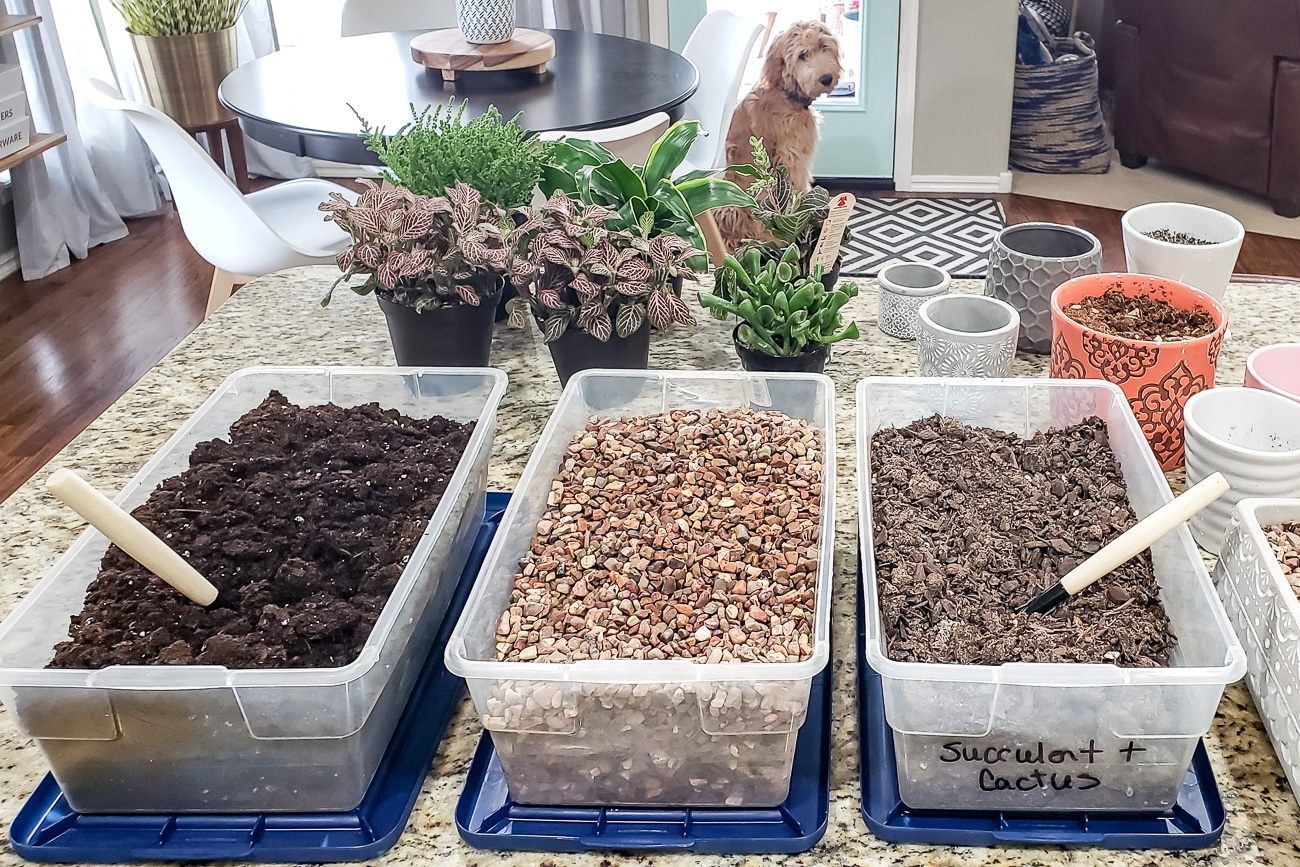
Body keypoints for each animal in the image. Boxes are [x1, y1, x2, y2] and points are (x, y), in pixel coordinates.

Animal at [712, 20, 842, 250]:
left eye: (823, 46)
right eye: (802, 55)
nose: (826, 78)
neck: (784, 92)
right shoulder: (792, 156)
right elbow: (799, 191)